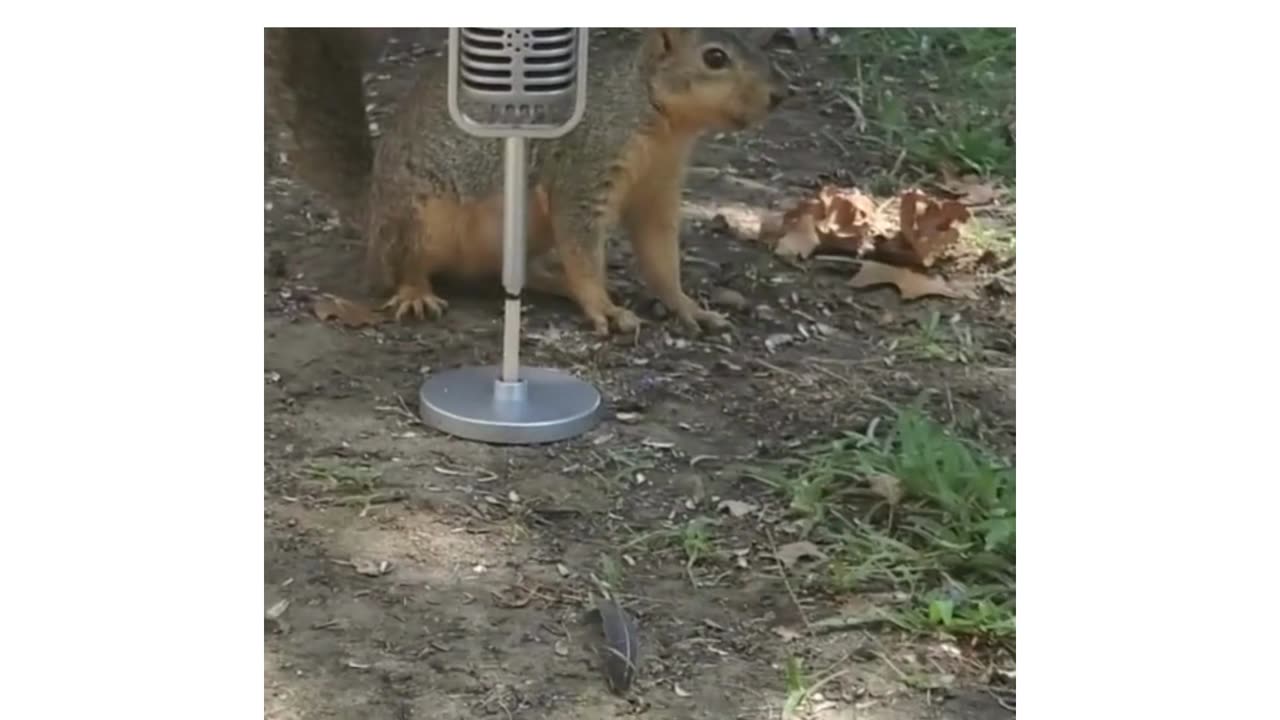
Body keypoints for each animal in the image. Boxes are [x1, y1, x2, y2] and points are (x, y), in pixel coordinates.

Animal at [263, 25, 783, 333]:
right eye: (714, 58)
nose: (779, 95)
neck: (655, 117)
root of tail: (372, 209)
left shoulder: (657, 190)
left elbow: (660, 259)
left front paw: (688, 306)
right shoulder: (584, 171)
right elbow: (583, 250)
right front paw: (605, 308)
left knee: (512, 275)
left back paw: (553, 282)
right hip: (419, 217)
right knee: (402, 267)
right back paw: (416, 293)